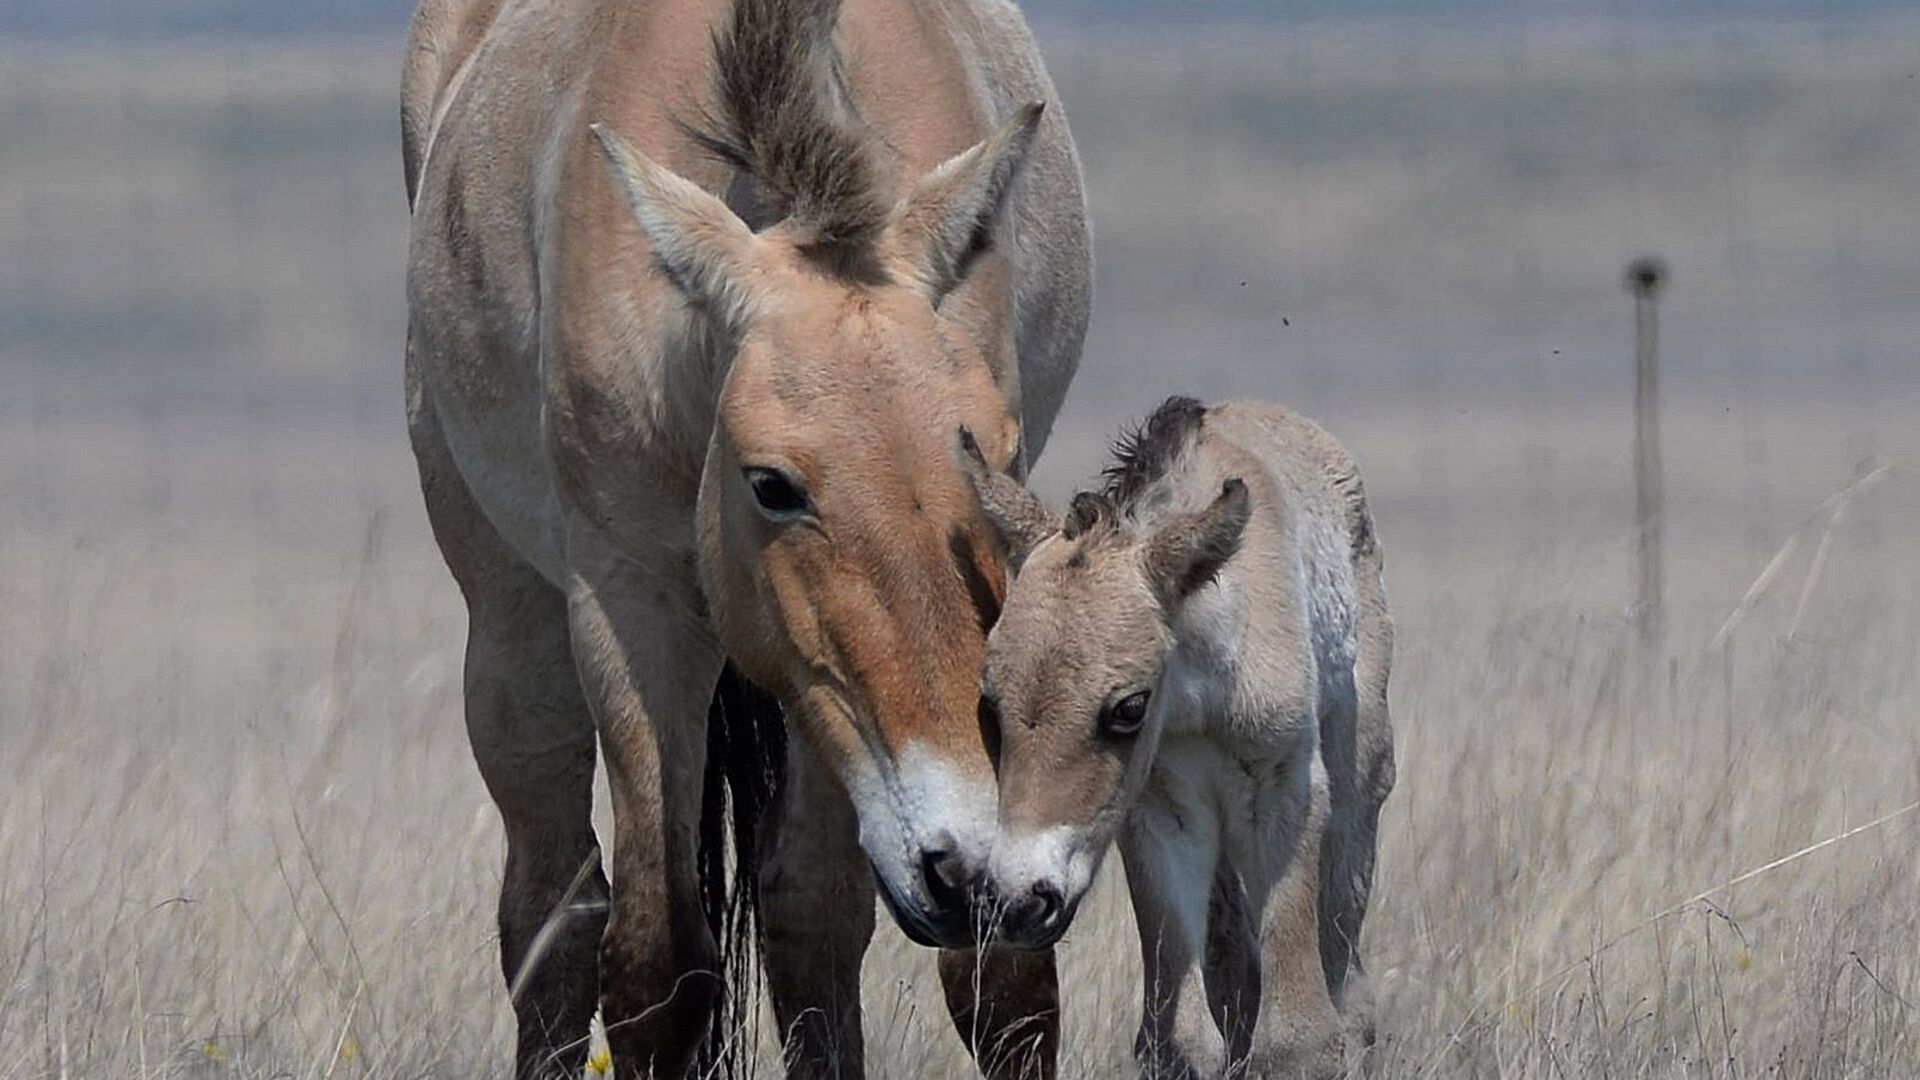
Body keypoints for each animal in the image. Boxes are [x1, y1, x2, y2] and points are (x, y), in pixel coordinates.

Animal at [397, 0, 1090, 1068]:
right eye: (772, 485)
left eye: (1002, 456)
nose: (967, 861)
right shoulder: (634, 609)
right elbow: (657, 963)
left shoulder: (823, 680)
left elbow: (974, 973)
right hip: (512, 631)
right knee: (552, 914)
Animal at [960, 399, 1397, 1076]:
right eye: (990, 703)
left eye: (1128, 708)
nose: (1020, 901)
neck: (1201, 691)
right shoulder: (1162, 814)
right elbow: (1183, 1041)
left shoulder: (1286, 793)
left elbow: (1300, 1041)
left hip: (1360, 783)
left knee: (1349, 985)